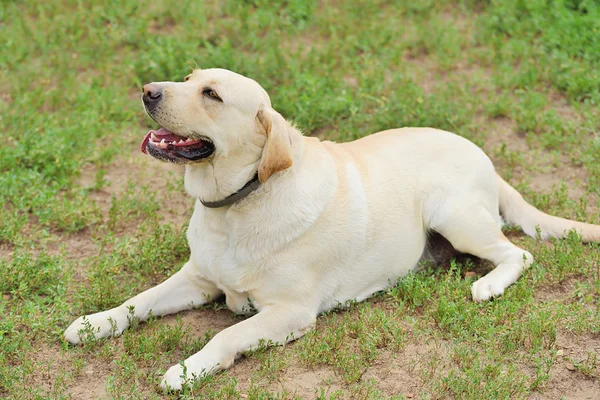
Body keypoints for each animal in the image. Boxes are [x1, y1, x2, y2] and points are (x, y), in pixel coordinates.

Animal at [64, 68, 600, 388]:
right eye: (188, 78)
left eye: (211, 94)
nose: (147, 91)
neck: (235, 209)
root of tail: (483, 155)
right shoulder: (196, 278)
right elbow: (139, 301)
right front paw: (95, 323)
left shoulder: (289, 312)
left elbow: (226, 337)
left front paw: (187, 369)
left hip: (455, 215)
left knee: (518, 253)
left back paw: (489, 284)